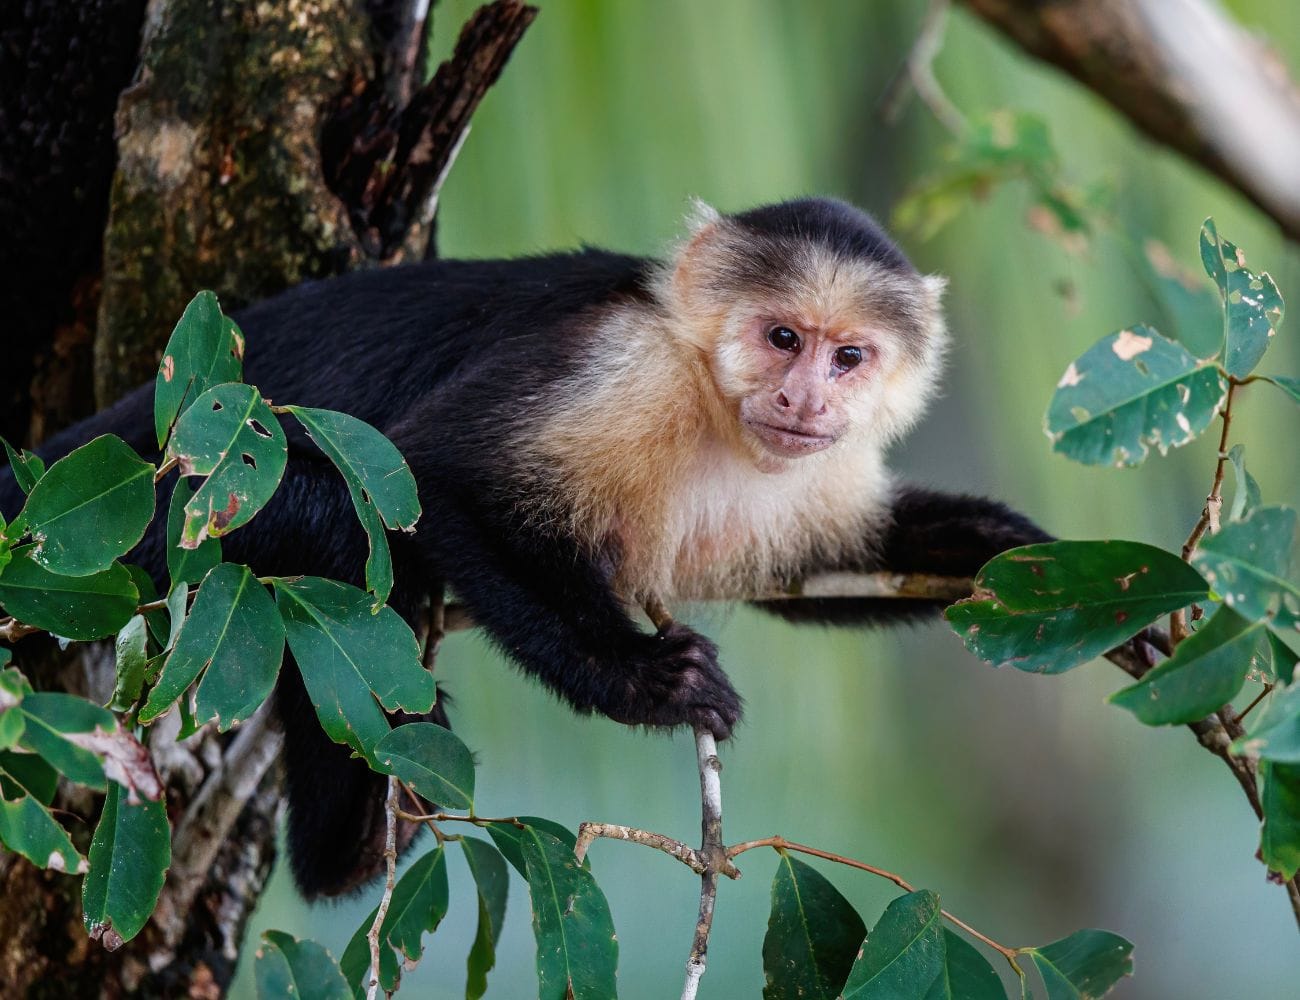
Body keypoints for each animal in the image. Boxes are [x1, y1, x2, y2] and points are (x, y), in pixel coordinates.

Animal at [0, 197, 1049, 896]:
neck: (711, 406)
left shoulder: (816, 474)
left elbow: (840, 560)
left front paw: (1016, 555)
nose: (805, 398)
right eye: (783, 338)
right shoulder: (623, 368)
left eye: (849, 357)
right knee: (340, 530)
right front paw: (643, 679)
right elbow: (444, 475)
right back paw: (351, 837)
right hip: (154, 510)